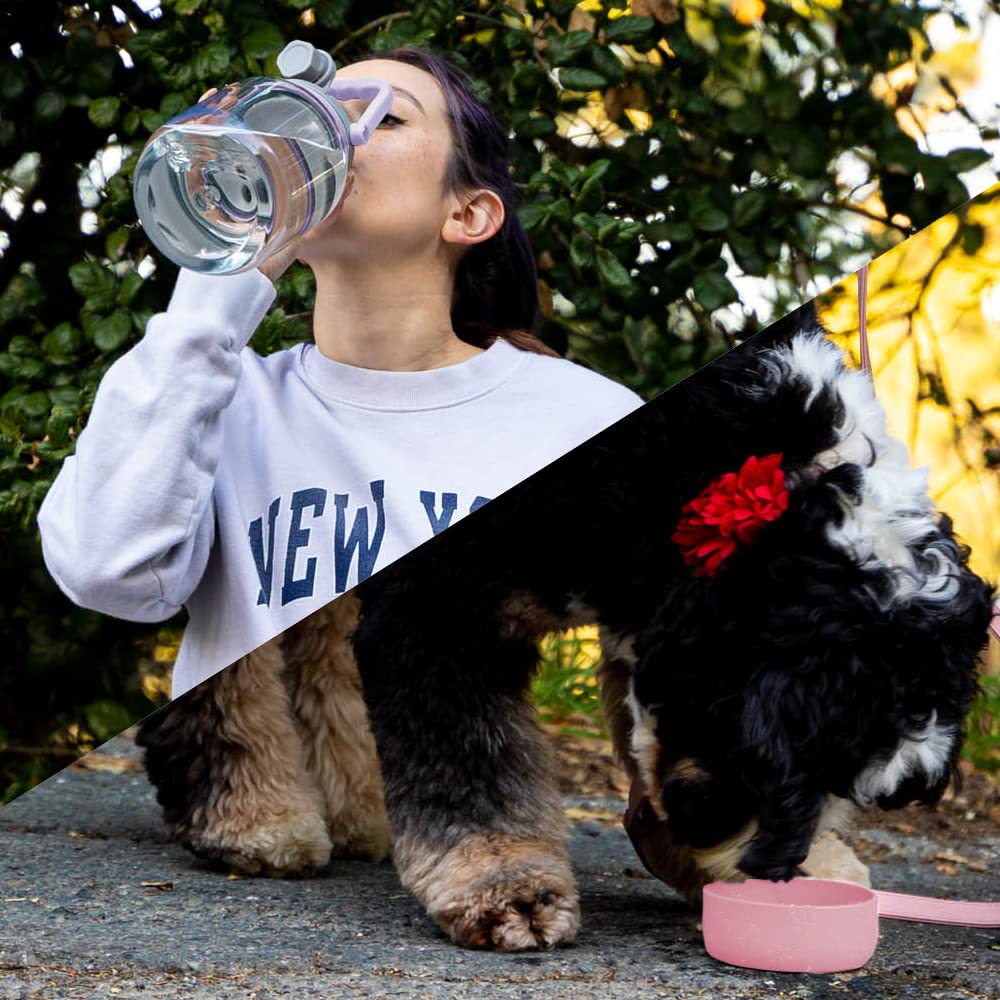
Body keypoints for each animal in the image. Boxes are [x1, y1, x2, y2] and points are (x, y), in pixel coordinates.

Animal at [137, 306, 996, 952]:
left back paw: (351, 817)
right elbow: (473, 767)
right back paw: (255, 822)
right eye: (764, 755)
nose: (776, 873)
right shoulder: (445, 603)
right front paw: (505, 886)